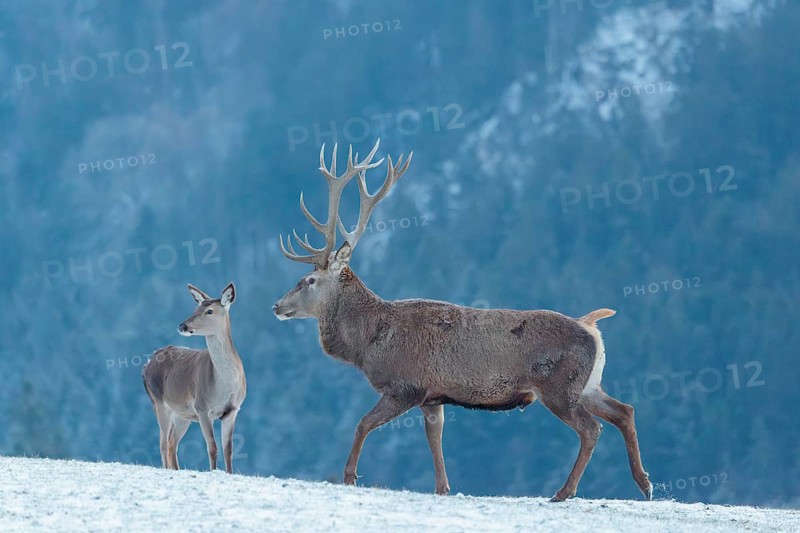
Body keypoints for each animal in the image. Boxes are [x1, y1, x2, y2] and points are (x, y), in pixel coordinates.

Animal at [142, 282, 246, 474]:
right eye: (195, 308)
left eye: (210, 311)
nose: (182, 326)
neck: (223, 385)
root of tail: (147, 364)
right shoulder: (203, 407)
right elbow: (212, 447)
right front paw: (213, 471)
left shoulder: (233, 410)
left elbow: (228, 449)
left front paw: (229, 473)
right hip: (158, 402)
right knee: (163, 442)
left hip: (182, 413)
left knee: (171, 442)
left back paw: (176, 469)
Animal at [272, 139, 652, 502]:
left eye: (309, 280)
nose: (276, 305)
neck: (369, 343)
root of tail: (592, 326)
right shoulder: (432, 397)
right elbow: (434, 440)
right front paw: (443, 488)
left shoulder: (405, 385)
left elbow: (362, 424)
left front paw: (350, 477)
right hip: (588, 385)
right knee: (625, 411)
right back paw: (644, 483)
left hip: (560, 387)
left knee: (592, 429)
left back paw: (564, 491)